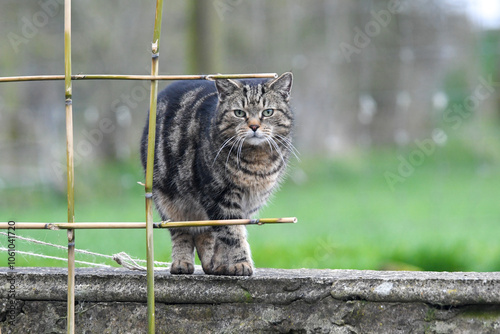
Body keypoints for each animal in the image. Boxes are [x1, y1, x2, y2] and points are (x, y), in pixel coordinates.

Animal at [141, 72, 294, 276]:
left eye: (268, 112)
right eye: (239, 113)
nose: (254, 126)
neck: (257, 161)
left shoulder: (249, 201)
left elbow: (224, 235)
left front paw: (223, 264)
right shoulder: (220, 196)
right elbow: (232, 233)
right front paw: (241, 263)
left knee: (204, 233)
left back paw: (212, 264)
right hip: (168, 199)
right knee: (182, 232)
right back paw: (182, 263)